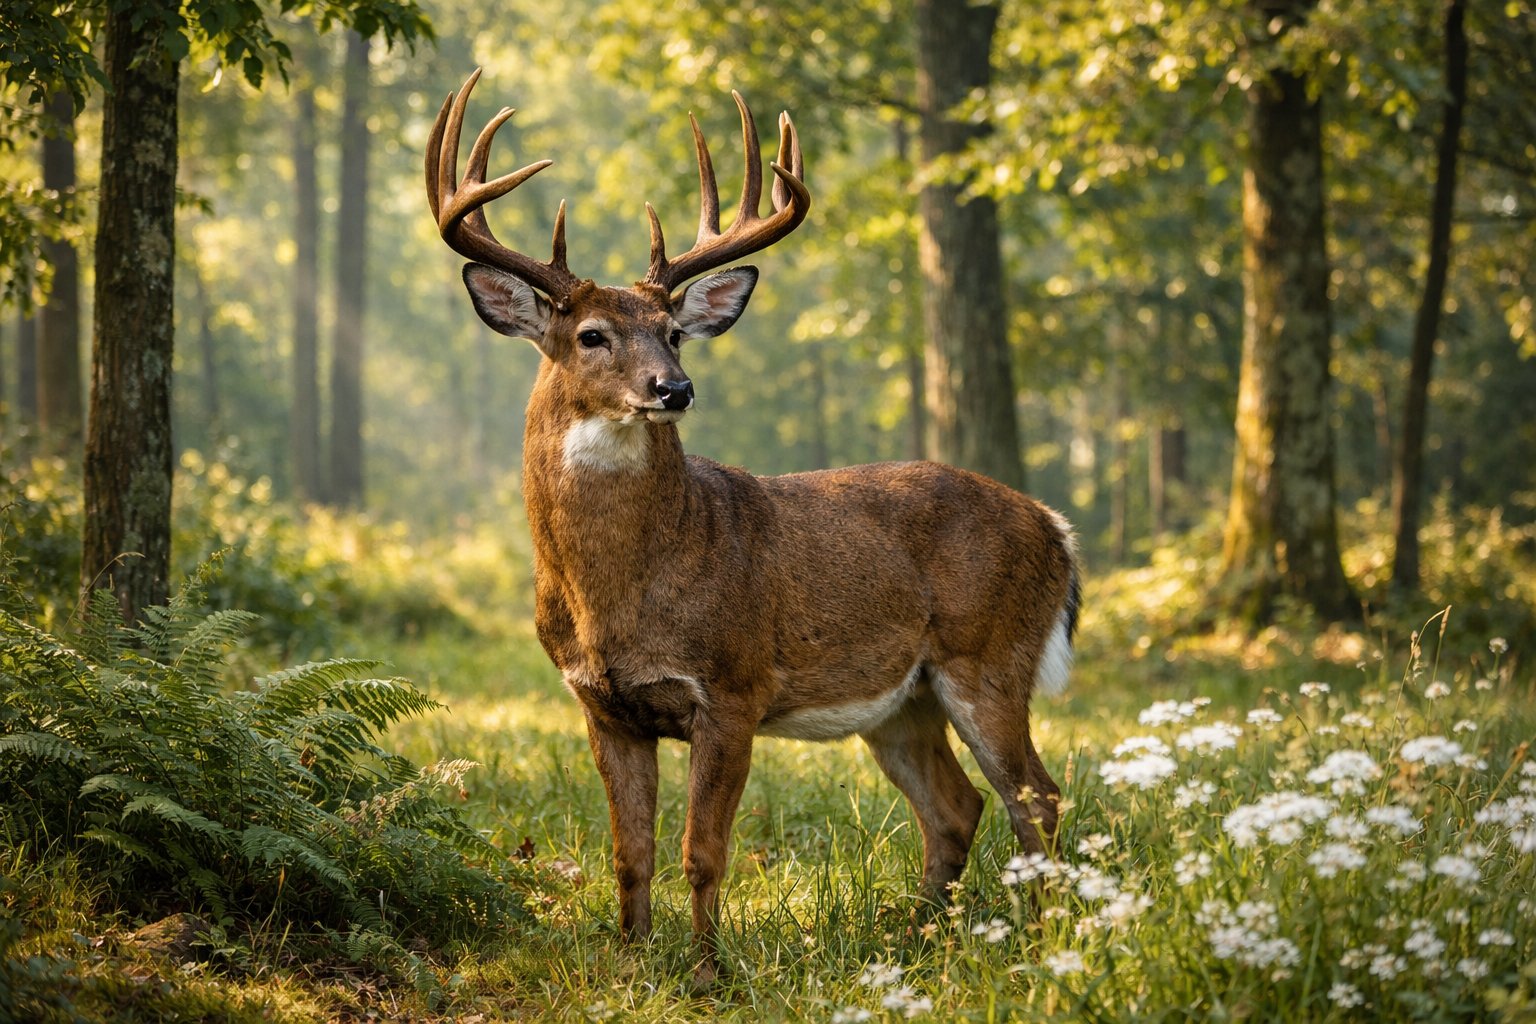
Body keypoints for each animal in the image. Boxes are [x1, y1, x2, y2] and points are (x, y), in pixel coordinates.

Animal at [425, 68, 1081, 984]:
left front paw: (706, 972)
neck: (619, 592)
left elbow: (703, 852)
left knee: (1037, 798)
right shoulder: (600, 703)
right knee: (958, 806)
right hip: (902, 699)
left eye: (672, 331)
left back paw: (1041, 941)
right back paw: (922, 937)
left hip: (989, 653)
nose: (674, 387)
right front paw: (632, 961)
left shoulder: (732, 687)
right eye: (591, 335)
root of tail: (1055, 527)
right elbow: (630, 852)